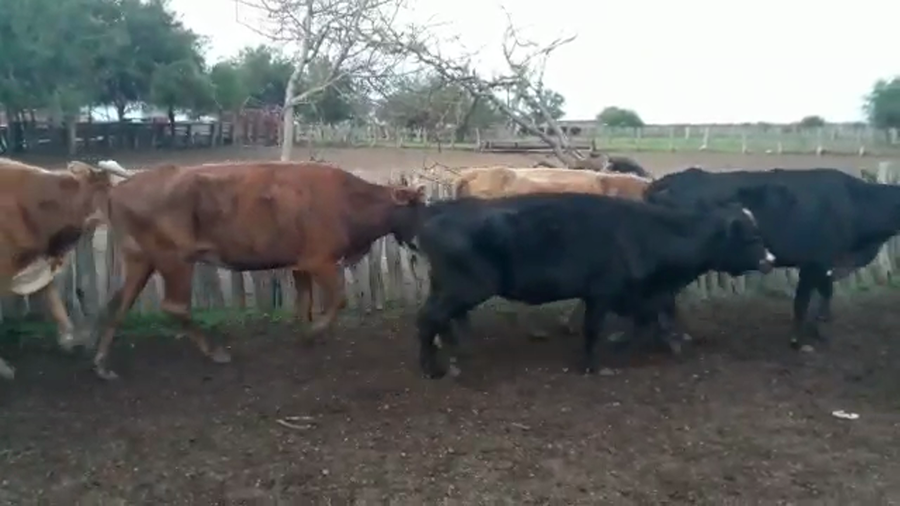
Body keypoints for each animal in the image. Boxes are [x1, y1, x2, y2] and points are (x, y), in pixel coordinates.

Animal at [87, 161, 426, 380]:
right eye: (419, 209)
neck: (348, 200)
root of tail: (120, 188)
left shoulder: (300, 263)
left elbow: (305, 301)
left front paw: (306, 333)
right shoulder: (320, 260)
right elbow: (338, 298)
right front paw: (314, 332)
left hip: (140, 260)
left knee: (119, 304)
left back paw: (102, 365)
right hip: (176, 260)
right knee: (174, 306)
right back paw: (217, 352)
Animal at [398, 192, 775, 379]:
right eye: (752, 237)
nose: (770, 260)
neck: (646, 233)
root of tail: (436, 211)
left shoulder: (636, 296)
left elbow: (644, 323)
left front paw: (629, 348)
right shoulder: (603, 293)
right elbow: (593, 328)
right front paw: (595, 365)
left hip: (445, 287)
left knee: (438, 320)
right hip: (463, 288)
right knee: (428, 320)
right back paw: (432, 369)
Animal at [644, 166, 900, 351]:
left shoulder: (826, 265)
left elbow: (824, 294)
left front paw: (817, 329)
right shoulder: (814, 262)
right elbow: (802, 301)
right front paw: (798, 340)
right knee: (663, 295)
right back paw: (670, 337)